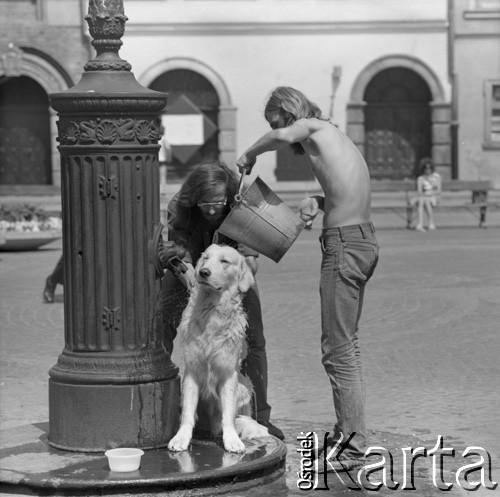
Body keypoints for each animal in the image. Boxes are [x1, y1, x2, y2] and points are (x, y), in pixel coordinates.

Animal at [168, 242, 270, 452]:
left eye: (225, 261)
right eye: (205, 258)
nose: (203, 272)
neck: (212, 311)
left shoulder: (227, 373)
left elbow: (228, 416)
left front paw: (232, 440)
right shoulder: (191, 371)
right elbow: (188, 413)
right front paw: (181, 438)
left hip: (244, 387)